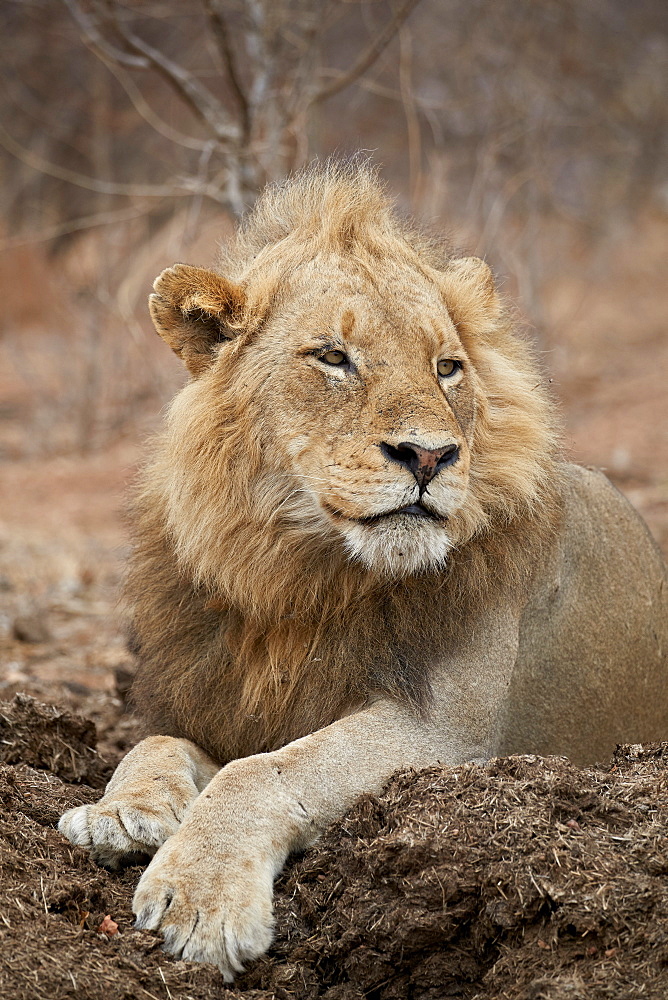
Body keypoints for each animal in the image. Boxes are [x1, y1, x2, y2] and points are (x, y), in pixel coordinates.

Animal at [58, 162, 668, 976]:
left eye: (448, 368)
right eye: (333, 357)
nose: (430, 456)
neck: (297, 576)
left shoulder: (448, 739)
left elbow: (265, 771)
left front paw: (201, 897)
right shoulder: (221, 706)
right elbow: (157, 744)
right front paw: (120, 813)